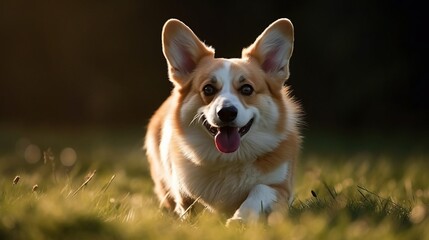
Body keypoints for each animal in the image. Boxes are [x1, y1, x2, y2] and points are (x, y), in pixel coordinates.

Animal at [145, 18, 300, 225]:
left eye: (247, 89)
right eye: (208, 89)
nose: (226, 112)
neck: (230, 159)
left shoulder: (281, 188)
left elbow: (259, 189)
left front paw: (240, 219)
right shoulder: (184, 195)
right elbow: (192, 205)